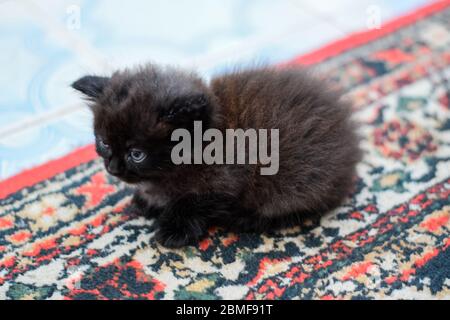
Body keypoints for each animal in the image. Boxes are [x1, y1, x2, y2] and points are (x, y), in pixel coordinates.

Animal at [74, 63, 362, 248]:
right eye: (104, 142)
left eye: (136, 154)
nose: (112, 167)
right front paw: (148, 200)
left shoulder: (225, 182)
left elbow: (191, 202)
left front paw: (174, 229)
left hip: (294, 183)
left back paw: (243, 219)